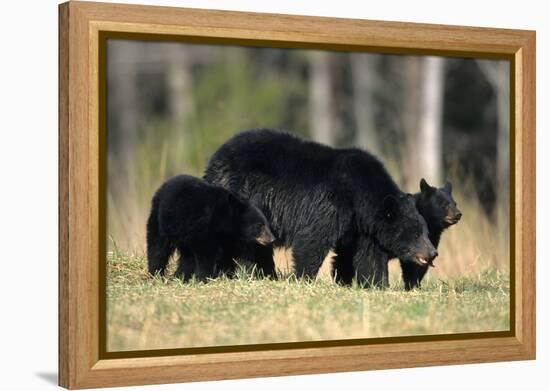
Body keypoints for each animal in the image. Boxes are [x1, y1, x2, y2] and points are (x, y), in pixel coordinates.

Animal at [147, 175, 276, 282]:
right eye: (259, 225)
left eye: (266, 224)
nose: (272, 239)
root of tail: (164, 185)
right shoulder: (204, 228)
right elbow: (206, 254)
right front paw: (204, 277)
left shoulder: (230, 240)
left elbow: (235, 256)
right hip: (160, 220)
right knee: (157, 248)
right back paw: (156, 275)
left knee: (187, 256)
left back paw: (180, 277)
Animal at [204, 129, 440, 288]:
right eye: (416, 234)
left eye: (426, 231)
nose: (432, 252)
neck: (361, 197)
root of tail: (215, 158)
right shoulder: (331, 204)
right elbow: (313, 239)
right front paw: (304, 278)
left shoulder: (362, 227)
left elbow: (366, 255)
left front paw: (376, 284)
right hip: (242, 195)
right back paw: (248, 270)